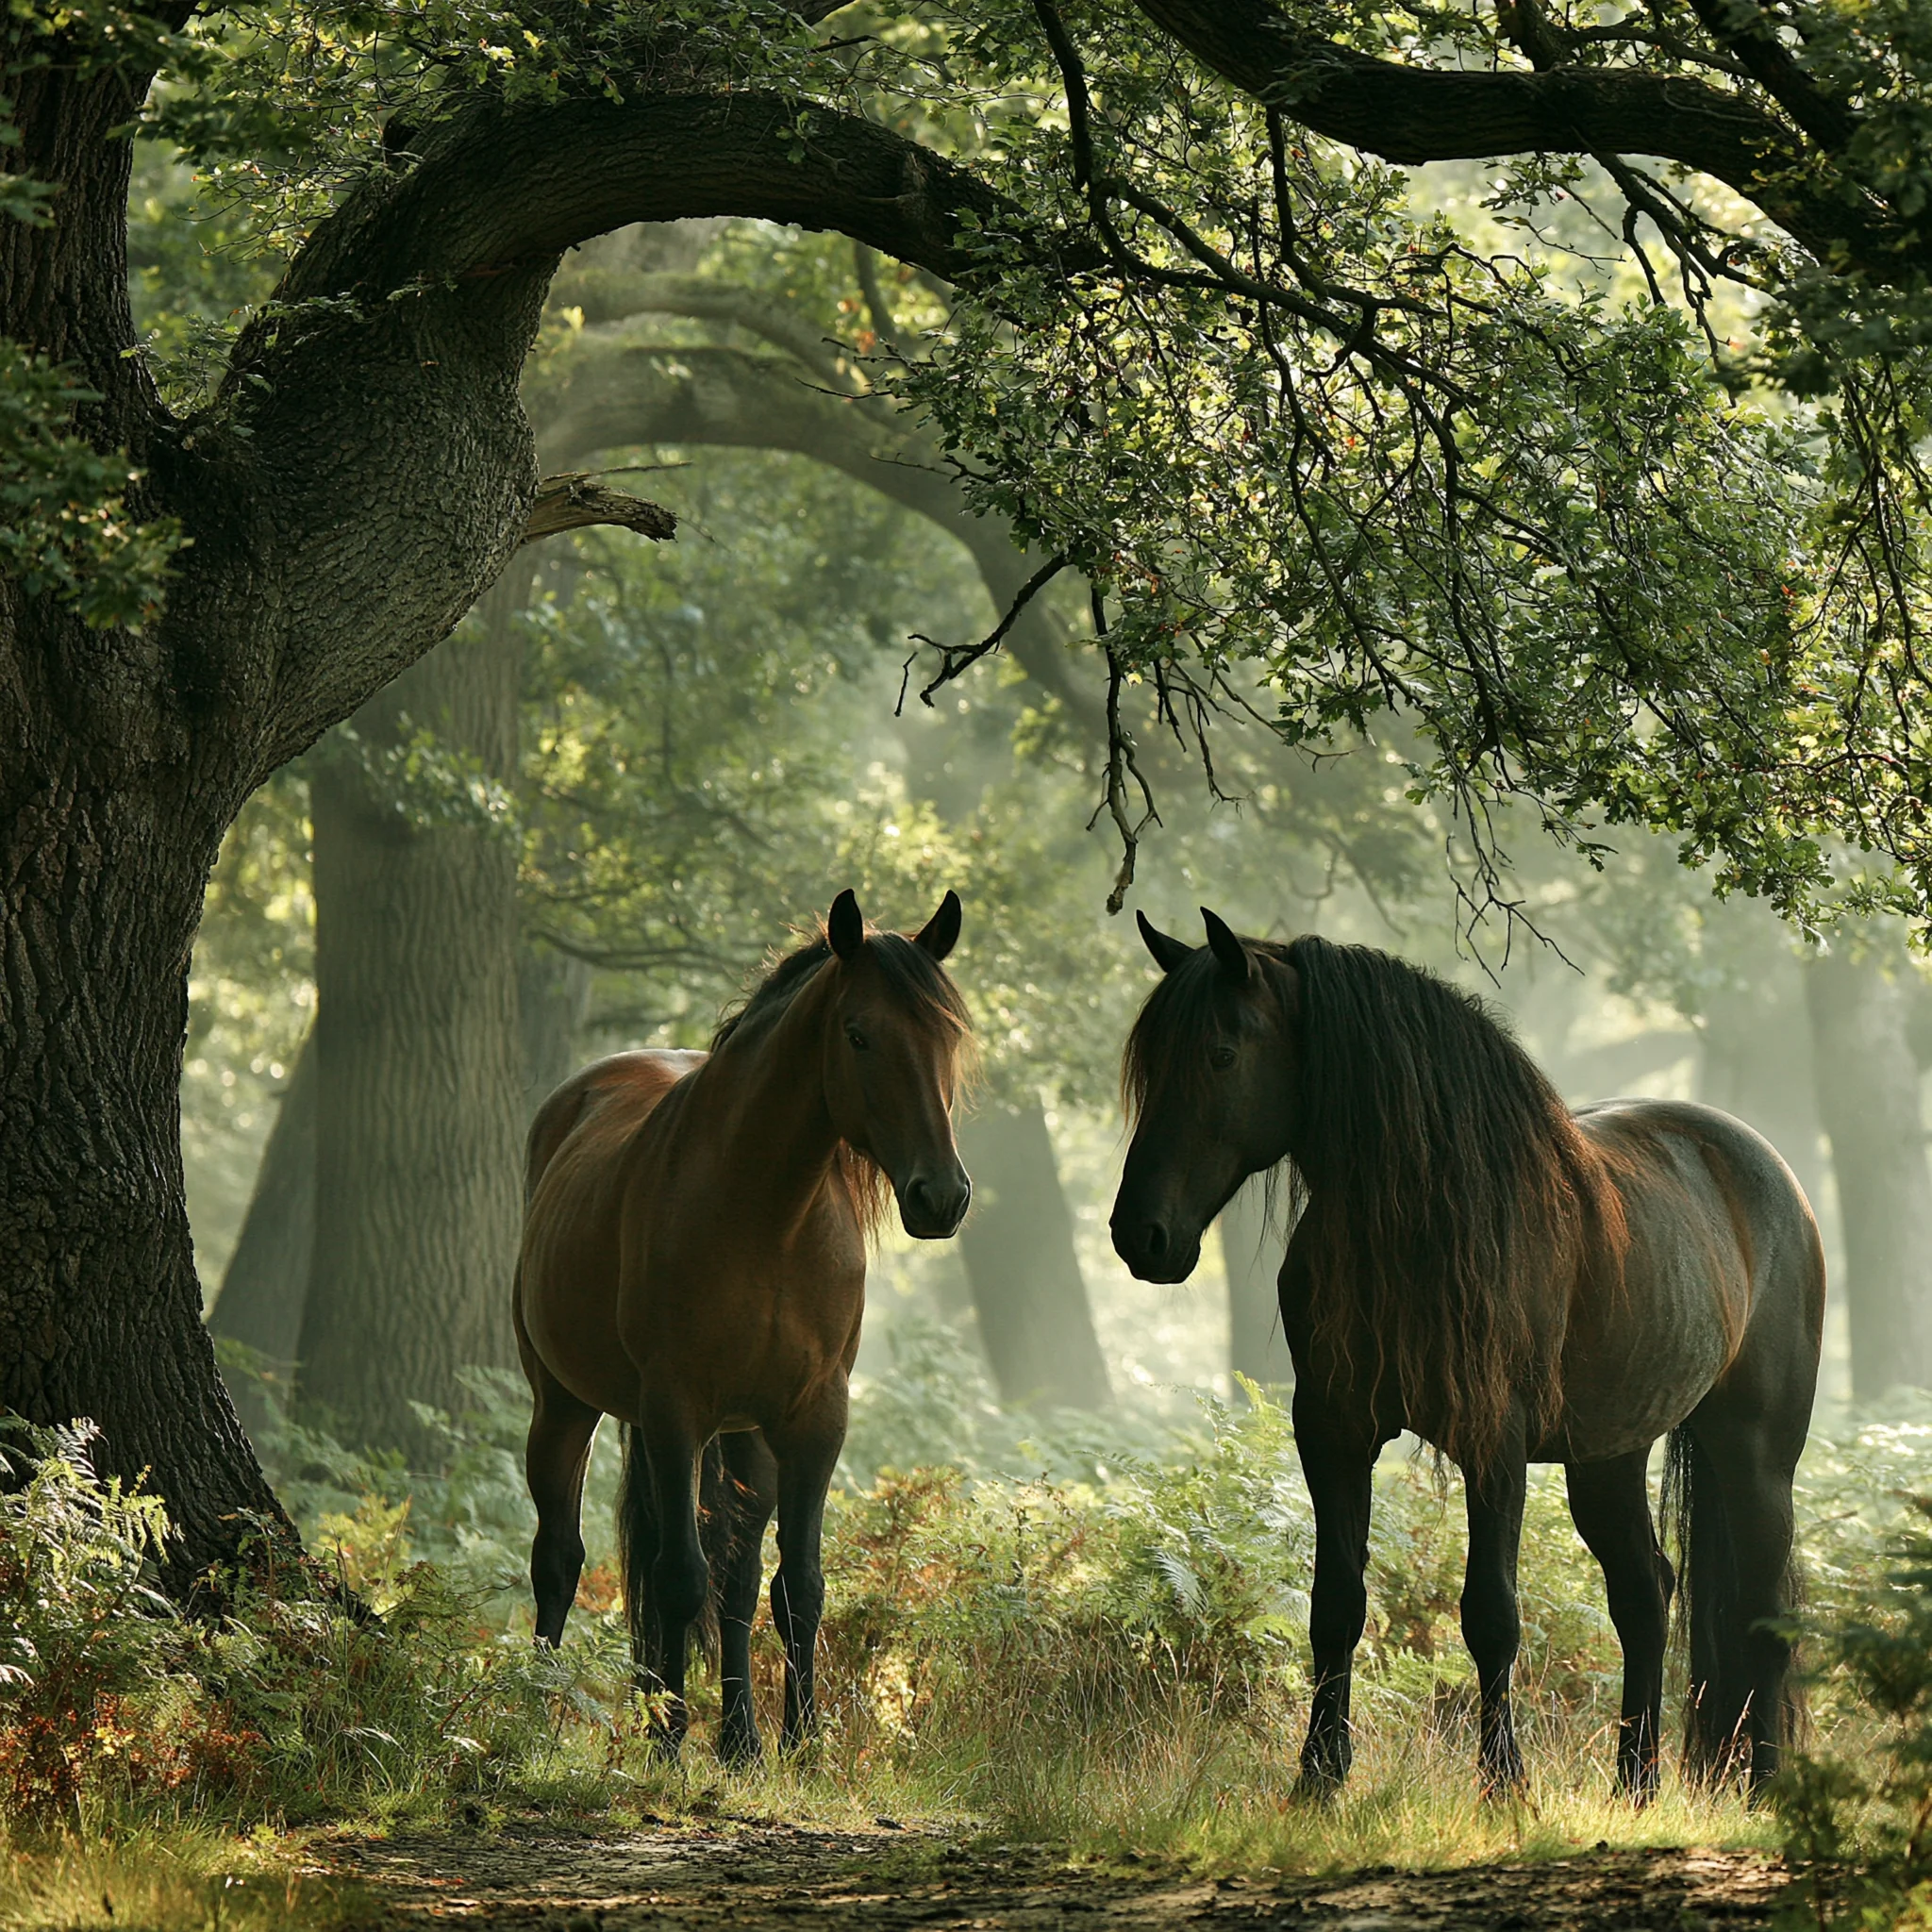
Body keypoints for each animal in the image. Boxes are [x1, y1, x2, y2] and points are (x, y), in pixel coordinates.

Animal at [514, 888, 972, 1761]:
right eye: (859, 1034)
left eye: (949, 1036)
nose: (941, 1196)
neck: (766, 1214)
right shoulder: (674, 1410)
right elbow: (677, 1578)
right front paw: (666, 1742)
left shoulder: (815, 1418)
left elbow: (796, 1585)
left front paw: (801, 1742)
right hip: (564, 1404)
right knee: (561, 1558)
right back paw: (538, 1715)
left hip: (746, 1437)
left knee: (734, 1576)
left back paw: (739, 1740)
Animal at [1111, 909, 1824, 1801]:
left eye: (1219, 1054)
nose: (1138, 1235)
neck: (1422, 1221)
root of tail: (1772, 1176)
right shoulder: (1333, 1431)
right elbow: (1335, 1604)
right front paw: (1319, 1778)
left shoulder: (1497, 1444)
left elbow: (1491, 1614)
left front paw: (1504, 1783)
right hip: (1607, 1457)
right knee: (1645, 1593)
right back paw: (1634, 1784)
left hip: (1755, 1456)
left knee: (1760, 1617)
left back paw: (1763, 1787)